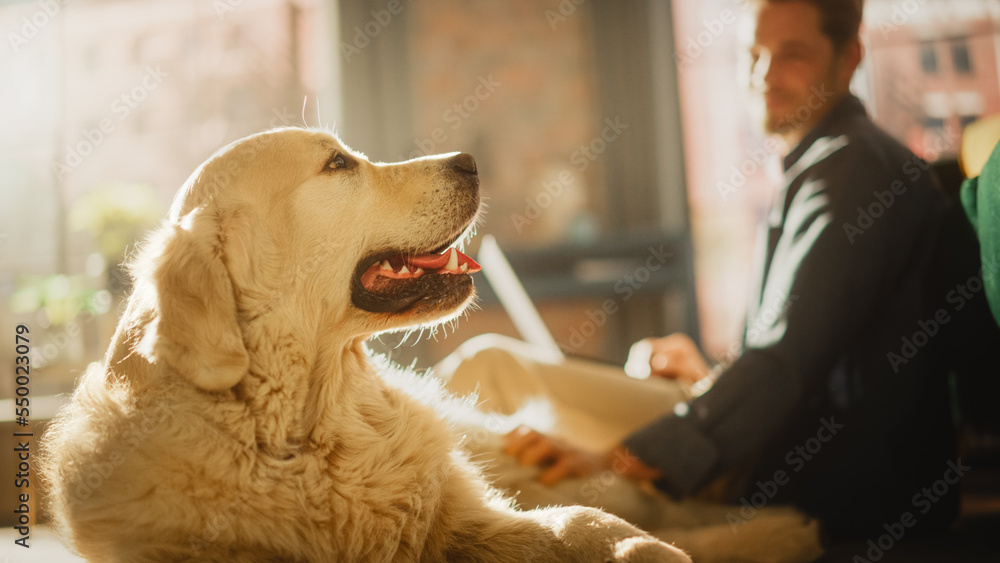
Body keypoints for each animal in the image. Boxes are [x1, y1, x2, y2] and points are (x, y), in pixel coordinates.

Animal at [41, 129, 696, 563]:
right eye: (337, 163)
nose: (469, 161)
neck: (307, 432)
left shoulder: (471, 517)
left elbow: (580, 520)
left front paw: (644, 547)